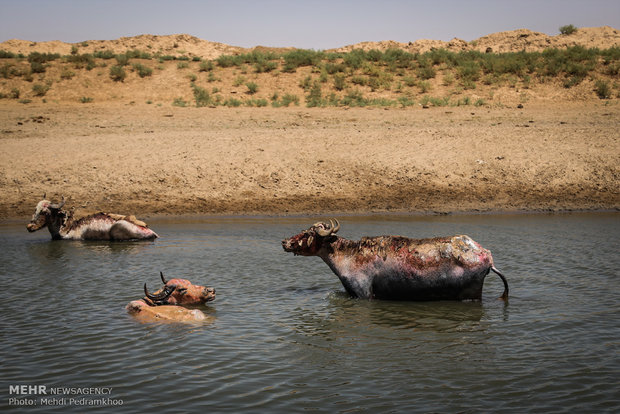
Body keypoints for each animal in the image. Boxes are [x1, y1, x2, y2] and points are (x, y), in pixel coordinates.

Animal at [280, 220, 508, 300]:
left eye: (307, 234)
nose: (284, 241)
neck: (348, 256)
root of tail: (487, 256)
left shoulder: (364, 293)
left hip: (471, 293)